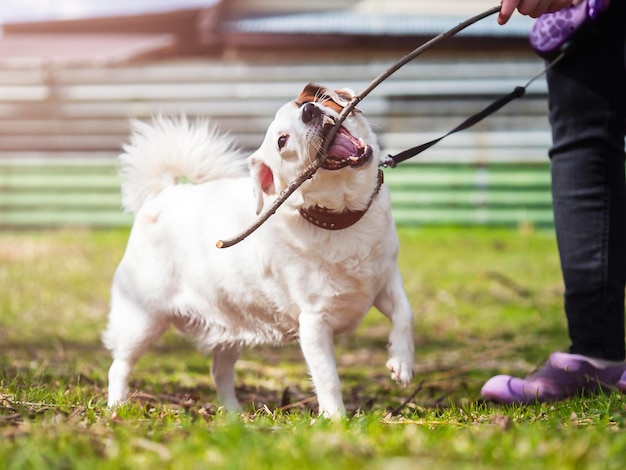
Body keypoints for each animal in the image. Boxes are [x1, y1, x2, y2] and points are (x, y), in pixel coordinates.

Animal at [103, 83, 414, 414]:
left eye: (304, 103)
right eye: (282, 141)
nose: (309, 111)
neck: (343, 219)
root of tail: (162, 195)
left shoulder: (386, 282)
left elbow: (405, 314)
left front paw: (402, 362)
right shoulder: (314, 324)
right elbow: (328, 378)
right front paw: (336, 419)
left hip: (228, 326)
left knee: (219, 372)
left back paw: (234, 415)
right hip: (141, 320)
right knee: (119, 365)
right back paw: (116, 406)